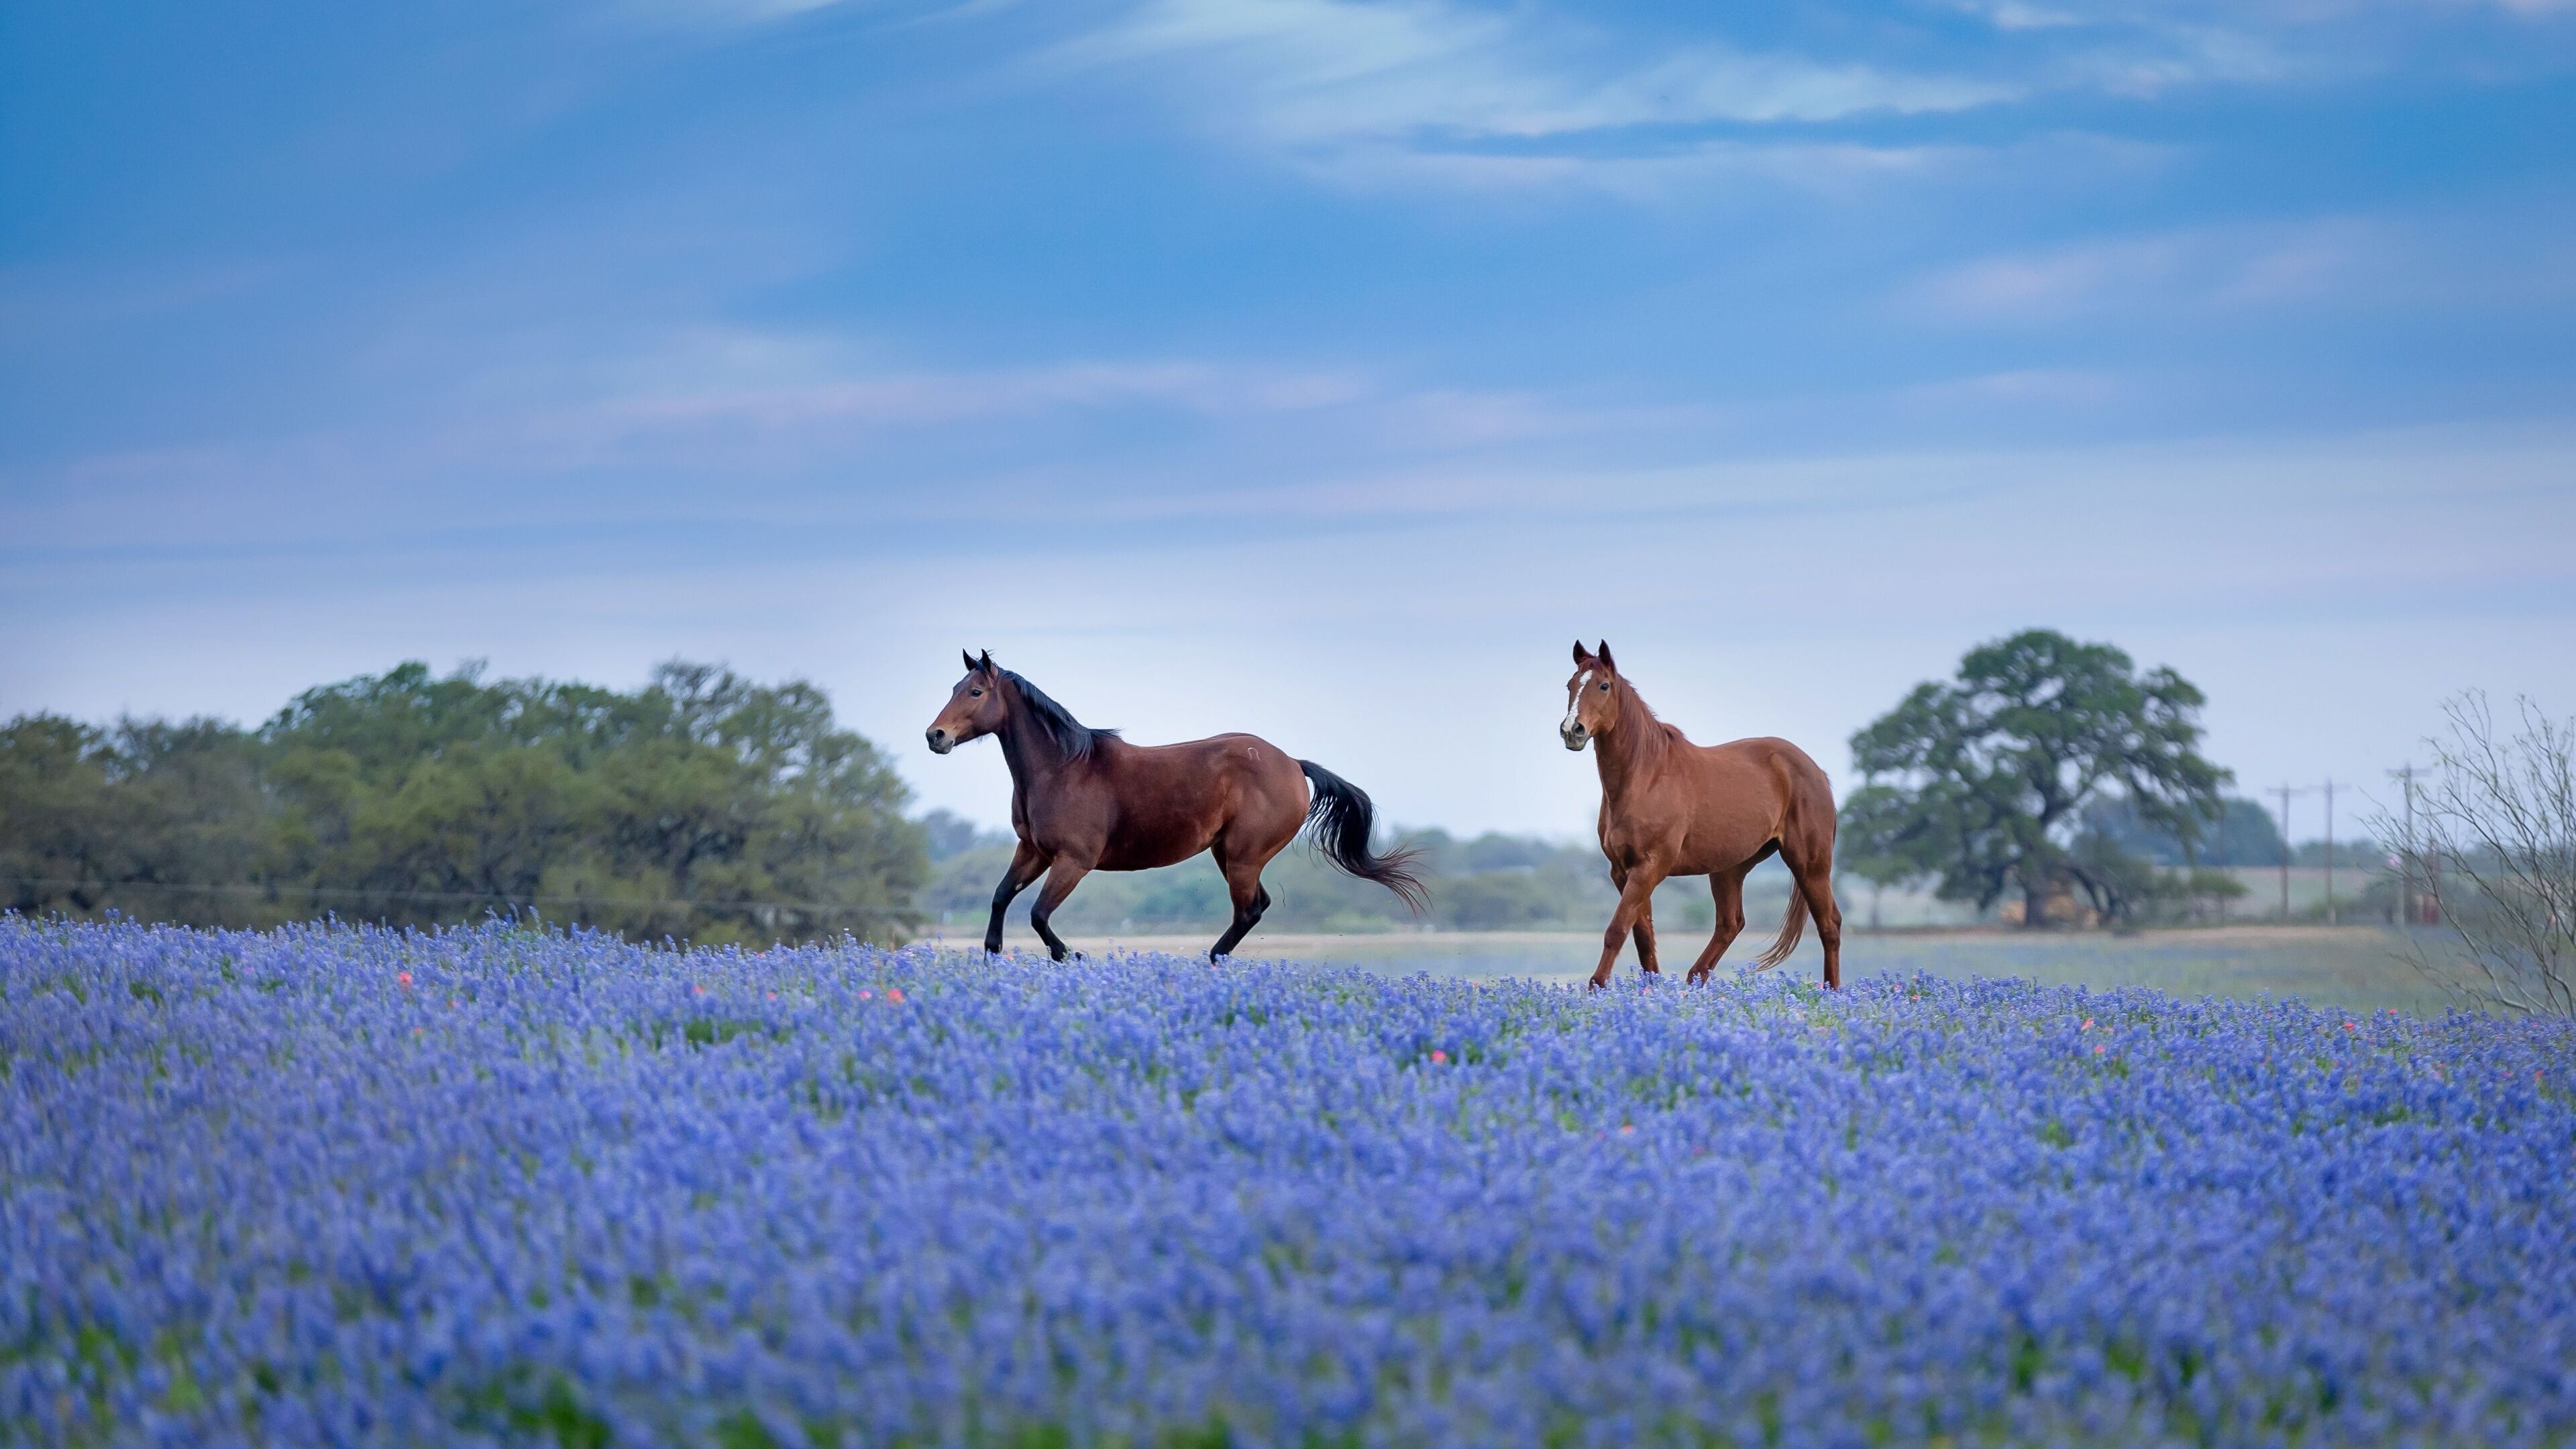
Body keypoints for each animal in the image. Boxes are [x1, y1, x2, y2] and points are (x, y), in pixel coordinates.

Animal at [925, 651, 1426, 961]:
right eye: (953, 687)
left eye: (975, 692)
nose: (936, 736)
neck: (1062, 769)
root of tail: (1292, 764)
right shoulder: (1033, 851)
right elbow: (1000, 898)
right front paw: (993, 956)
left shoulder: (1073, 861)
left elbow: (1038, 915)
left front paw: (1072, 955)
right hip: (1228, 854)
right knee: (1257, 906)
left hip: (1243, 856)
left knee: (1249, 910)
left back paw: (1212, 961)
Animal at [1560, 641, 1844, 990]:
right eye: (1570, 685)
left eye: (1604, 686)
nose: (1572, 730)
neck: (1646, 776)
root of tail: (1816, 772)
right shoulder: (1623, 871)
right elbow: (1642, 936)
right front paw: (1653, 990)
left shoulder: (1650, 867)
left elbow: (1617, 930)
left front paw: (1597, 987)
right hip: (1730, 869)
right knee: (1730, 923)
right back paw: (1693, 981)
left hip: (1810, 865)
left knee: (1829, 924)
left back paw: (1833, 992)